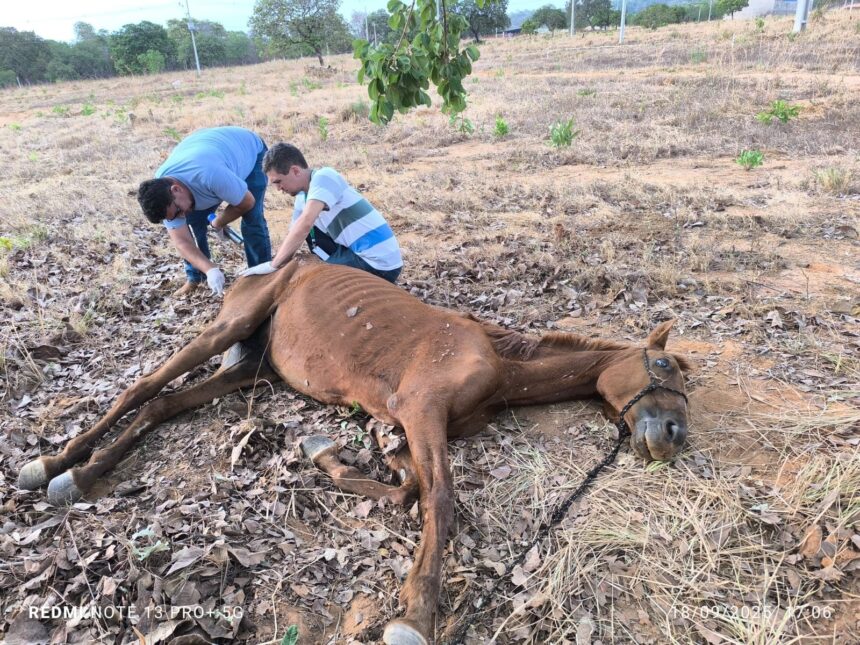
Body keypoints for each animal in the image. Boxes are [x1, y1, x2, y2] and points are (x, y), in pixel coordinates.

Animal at [18, 258, 691, 645]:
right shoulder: (422, 411)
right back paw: (54, 467)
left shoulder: (414, 425)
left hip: (255, 369)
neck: (498, 365)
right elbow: (438, 500)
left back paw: (82, 473)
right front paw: (415, 616)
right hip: (228, 330)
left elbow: (407, 486)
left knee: (162, 407)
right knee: (144, 388)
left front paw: (326, 453)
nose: (673, 437)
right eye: (662, 366)